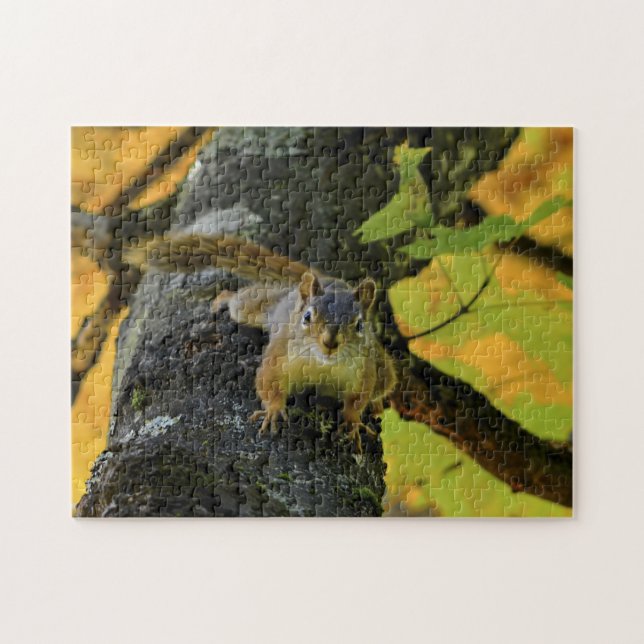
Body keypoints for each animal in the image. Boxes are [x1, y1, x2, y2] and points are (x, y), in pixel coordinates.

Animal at [139, 232, 398, 453]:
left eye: (359, 325)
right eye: (307, 317)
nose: (330, 343)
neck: (321, 363)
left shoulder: (363, 371)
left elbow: (357, 399)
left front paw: (353, 422)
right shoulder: (280, 355)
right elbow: (268, 380)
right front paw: (273, 410)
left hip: (383, 367)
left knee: (382, 385)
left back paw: (377, 405)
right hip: (254, 307)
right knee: (236, 300)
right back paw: (221, 300)